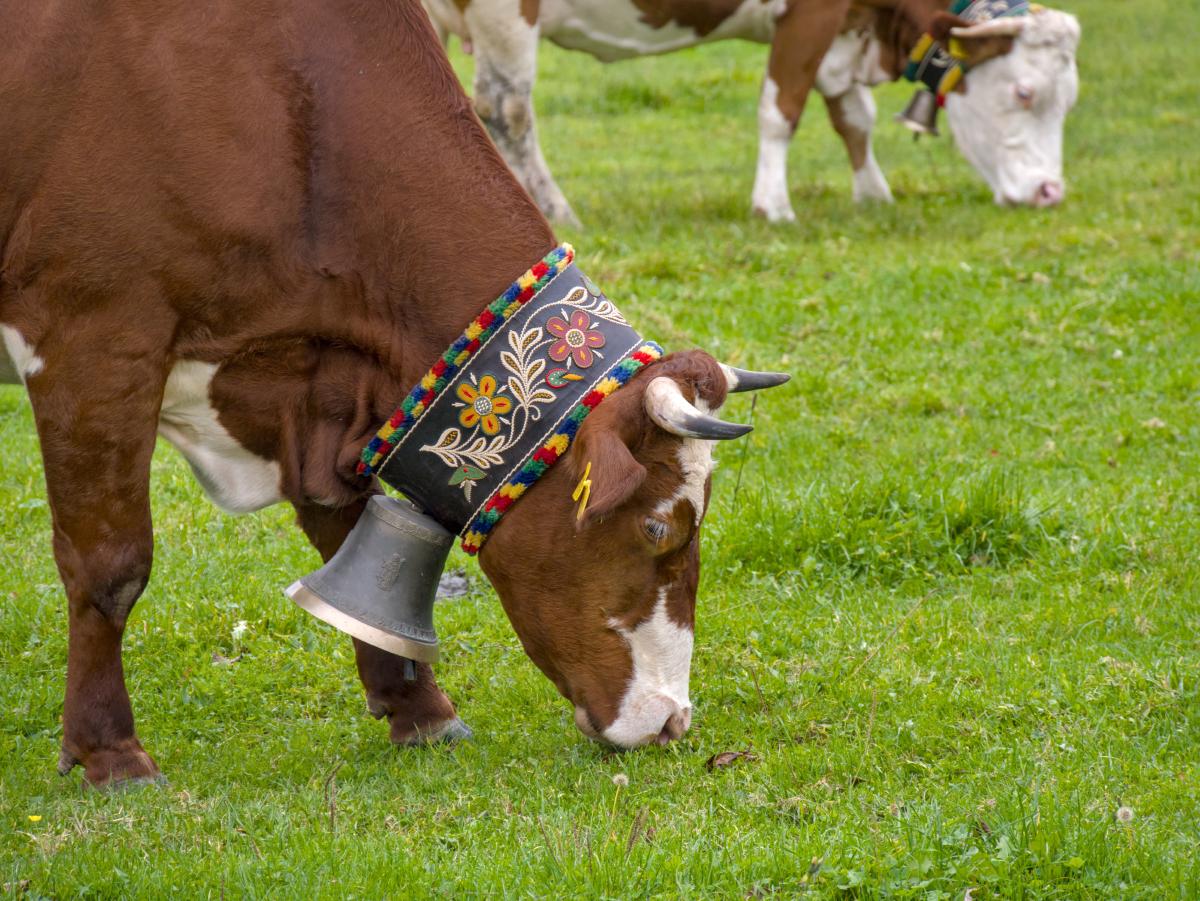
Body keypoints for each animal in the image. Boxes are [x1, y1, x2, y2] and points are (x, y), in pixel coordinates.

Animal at [0, 0, 785, 787]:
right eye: (658, 528)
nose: (672, 719)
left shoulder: (312, 386)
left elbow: (342, 524)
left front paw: (419, 709)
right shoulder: (94, 339)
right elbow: (111, 564)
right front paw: (110, 752)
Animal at [422, 0, 1081, 224]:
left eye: (1069, 100)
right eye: (1026, 93)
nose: (1051, 192)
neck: (878, 30)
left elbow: (853, 114)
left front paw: (873, 193)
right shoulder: (811, 16)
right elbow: (781, 109)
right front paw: (773, 204)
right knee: (507, 107)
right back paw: (555, 209)